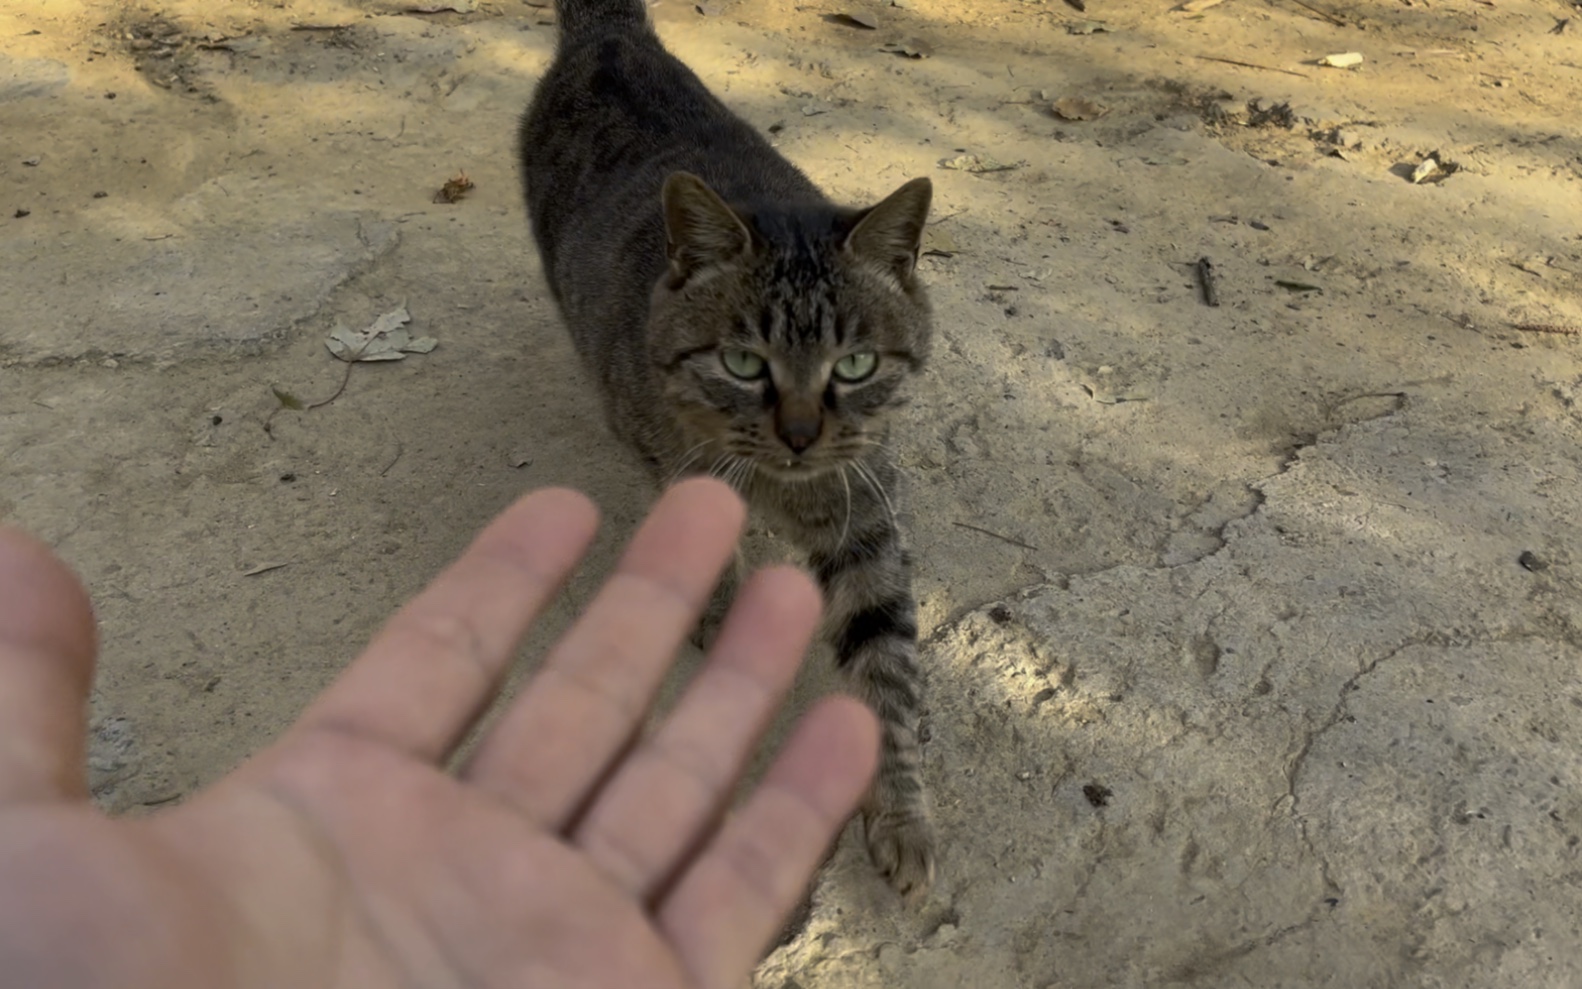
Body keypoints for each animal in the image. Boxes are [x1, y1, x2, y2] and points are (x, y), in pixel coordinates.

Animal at [518, 0, 936, 898]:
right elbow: (707, 539)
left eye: (855, 364)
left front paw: (901, 812)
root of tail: (609, 34)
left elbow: (886, 668)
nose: (802, 433)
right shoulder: (670, 462)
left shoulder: (865, 516)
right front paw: (717, 601)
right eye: (744, 362)